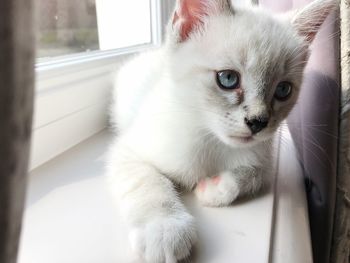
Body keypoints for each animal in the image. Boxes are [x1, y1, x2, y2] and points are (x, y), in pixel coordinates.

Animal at [106, 1, 336, 262]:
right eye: (227, 78)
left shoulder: (266, 161)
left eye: (283, 90)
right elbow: (148, 183)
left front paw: (216, 186)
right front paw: (165, 229)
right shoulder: (127, 151)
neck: (212, 140)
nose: (258, 122)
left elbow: (255, 174)